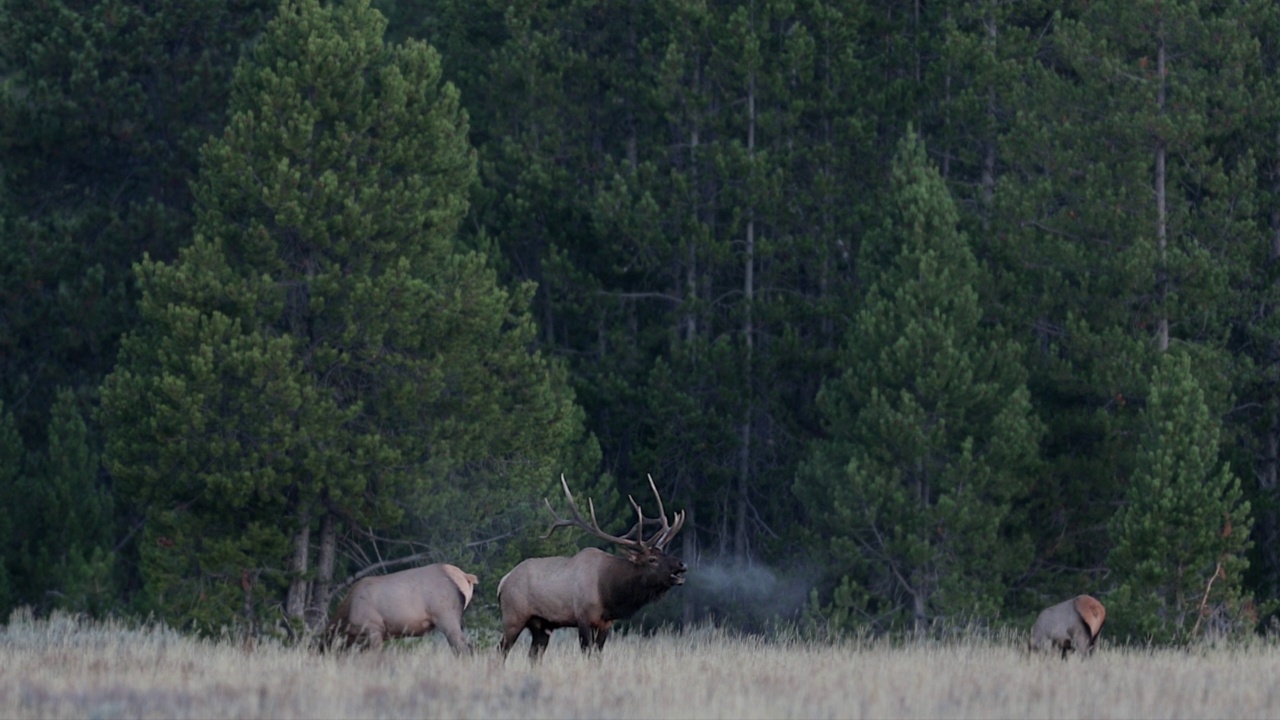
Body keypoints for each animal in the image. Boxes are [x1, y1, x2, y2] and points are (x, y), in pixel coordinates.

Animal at [494, 474, 686, 661]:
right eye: (652, 559)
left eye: (663, 553)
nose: (682, 564)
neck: (609, 593)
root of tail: (503, 581)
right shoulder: (583, 617)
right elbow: (587, 653)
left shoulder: (606, 624)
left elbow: (597, 656)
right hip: (513, 617)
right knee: (500, 651)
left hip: (541, 625)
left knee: (533, 656)